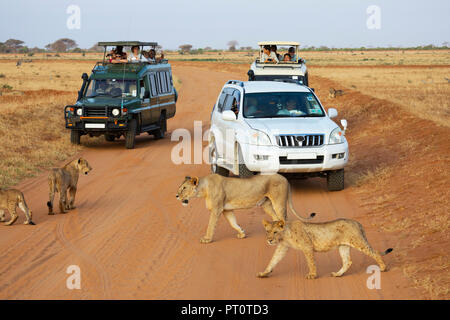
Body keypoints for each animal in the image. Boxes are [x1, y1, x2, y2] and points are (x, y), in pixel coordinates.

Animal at [174, 174, 314, 244]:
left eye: (184, 188)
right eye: (179, 187)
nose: (176, 196)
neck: (204, 189)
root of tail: (285, 178)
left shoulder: (216, 209)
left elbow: (211, 225)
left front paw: (207, 239)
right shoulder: (227, 210)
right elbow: (233, 222)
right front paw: (241, 233)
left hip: (278, 202)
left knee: (284, 218)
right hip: (266, 204)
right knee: (277, 219)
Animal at [258, 219, 392, 278]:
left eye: (275, 232)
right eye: (267, 231)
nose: (269, 240)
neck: (284, 235)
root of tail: (357, 223)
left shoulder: (307, 246)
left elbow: (311, 262)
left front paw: (312, 275)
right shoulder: (283, 247)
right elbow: (273, 260)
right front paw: (264, 273)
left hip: (358, 242)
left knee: (375, 252)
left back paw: (383, 268)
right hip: (343, 246)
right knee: (347, 261)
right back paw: (338, 274)